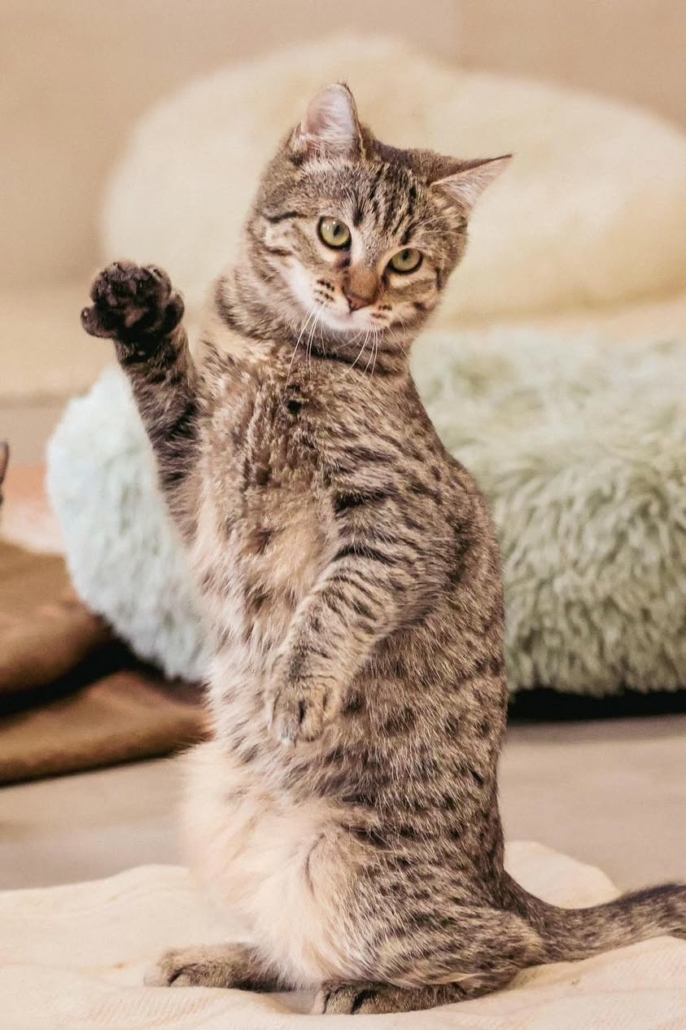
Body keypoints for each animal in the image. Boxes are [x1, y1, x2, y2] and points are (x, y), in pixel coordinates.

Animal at [81, 83, 686, 1015]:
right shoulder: (194, 486)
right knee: (293, 947)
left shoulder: (401, 521)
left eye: (404, 260)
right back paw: (220, 957)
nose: (357, 293)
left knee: (502, 950)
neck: (286, 354)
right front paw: (139, 316)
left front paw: (296, 687)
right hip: (222, 814)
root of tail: (498, 876)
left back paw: (375, 990)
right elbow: (168, 396)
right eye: (336, 233)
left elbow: (336, 604)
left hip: (343, 862)